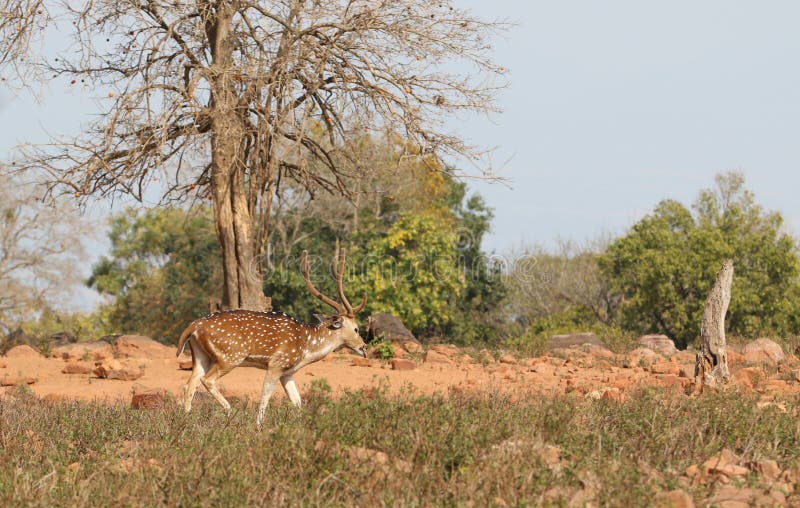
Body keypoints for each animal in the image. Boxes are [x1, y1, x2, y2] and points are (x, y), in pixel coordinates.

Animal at [176, 247, 367, 425]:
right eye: (356, 329)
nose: (364, 348)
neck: (306, 348)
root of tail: (194, 325)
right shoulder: (277, 363)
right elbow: (265, 396)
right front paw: (258, 426)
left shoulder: (288, 373)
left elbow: (297, 402)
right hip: (230, 356)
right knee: (207, 380)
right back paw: (230, 412)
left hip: (201, 356)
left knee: (189, 384)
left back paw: (186, 422)